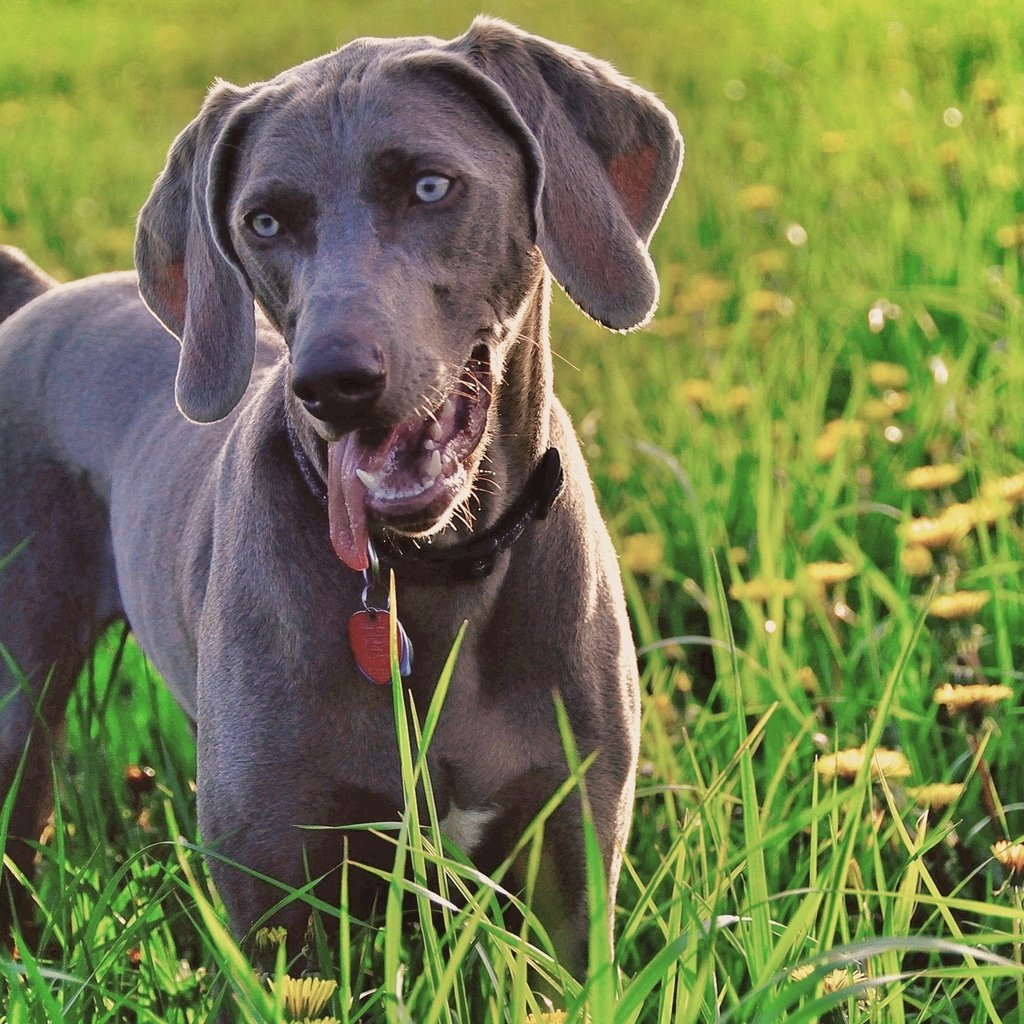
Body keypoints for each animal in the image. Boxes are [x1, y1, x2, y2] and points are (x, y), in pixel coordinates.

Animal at [2, 18, 688, 974]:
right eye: (263, 221)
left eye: (432, 186)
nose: (332, 381)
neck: (434, 576)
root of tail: (38, 298)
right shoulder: (277, 899)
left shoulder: (570, 873)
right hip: (18, 696)